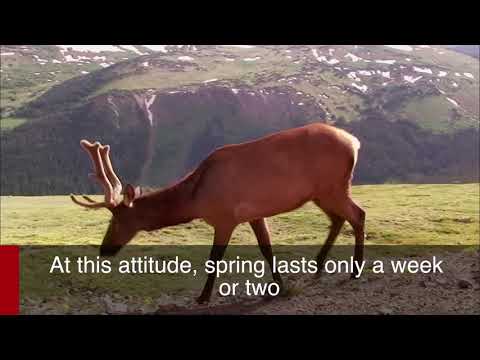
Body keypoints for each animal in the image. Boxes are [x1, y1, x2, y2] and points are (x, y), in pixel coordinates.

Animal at [70, 124, 364, 304]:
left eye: (117, 219)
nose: (104, 250)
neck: (196, 199)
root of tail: (354, 142)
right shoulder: (254, 214)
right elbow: (266, 249)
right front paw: (279, 286)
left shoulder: (225, 218)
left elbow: (215, 258)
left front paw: (203, 297)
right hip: (322, 192)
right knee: (339, 219)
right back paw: (318, 266)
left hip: (333, 186)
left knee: (357, 214)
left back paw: (355, 270)